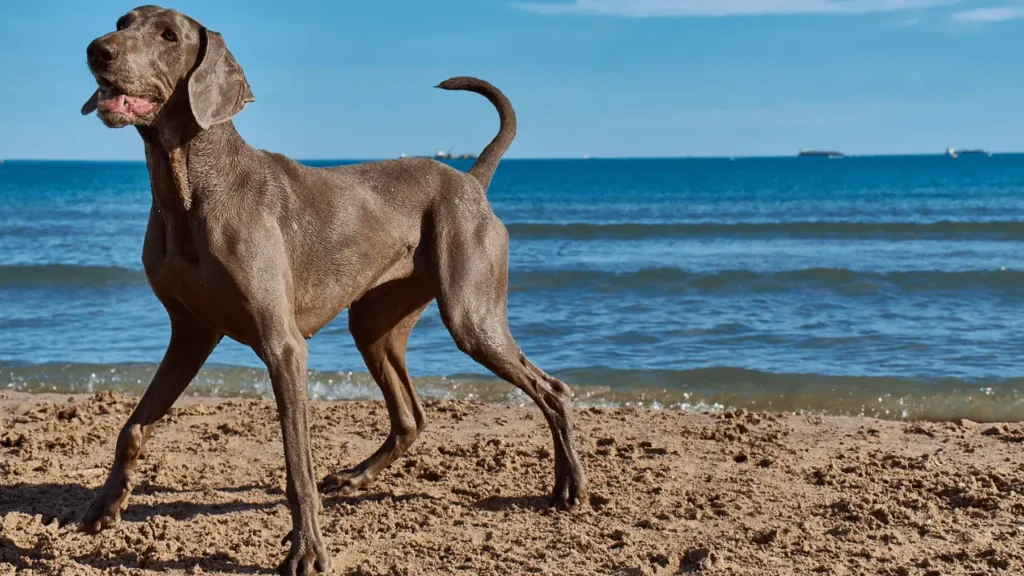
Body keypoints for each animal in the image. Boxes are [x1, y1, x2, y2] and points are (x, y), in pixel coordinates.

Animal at [81, 5, 585, 573]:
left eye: (169, 35)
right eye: (122, 20)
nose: (97, 50)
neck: (189, 187)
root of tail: (470, 181)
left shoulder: (282, 346)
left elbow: (296, 463)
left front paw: (307, 550)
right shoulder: (191, 333)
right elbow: (132, 426)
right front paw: (105, 506)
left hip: (470, 314)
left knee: (552, 389)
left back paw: (569, 486)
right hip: (374, 324)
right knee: (410, 417)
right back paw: (355, 477)